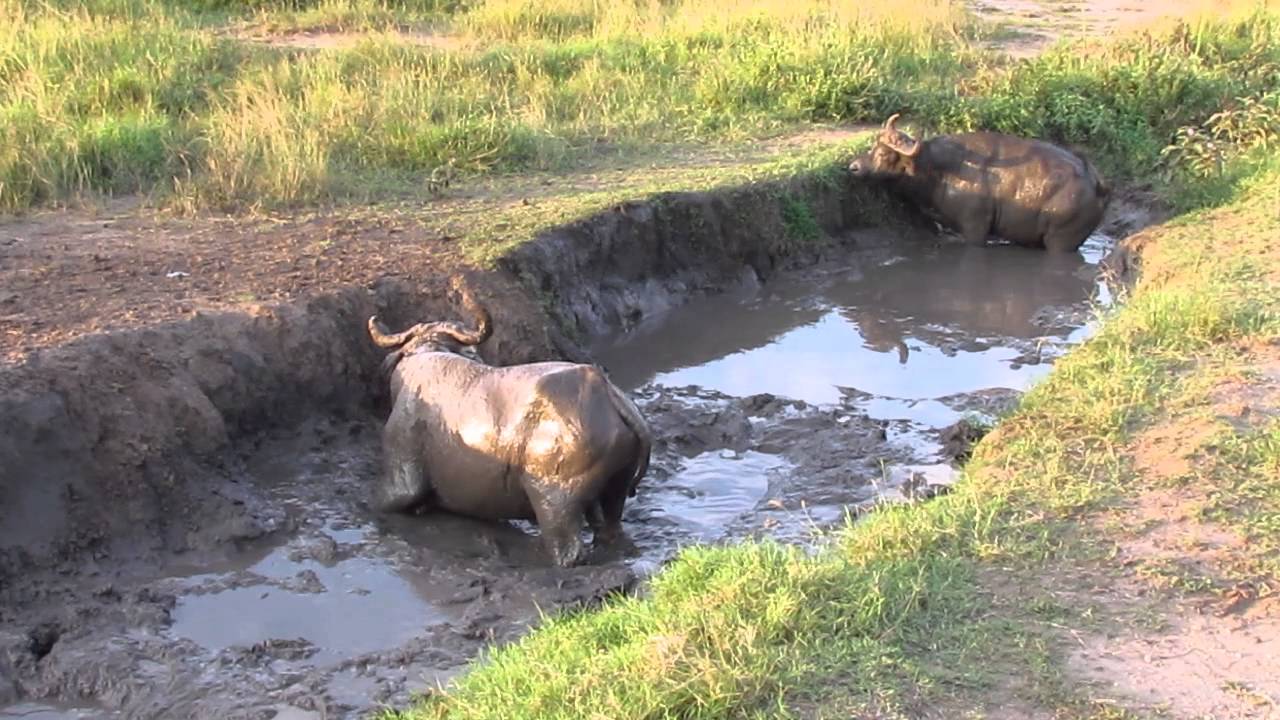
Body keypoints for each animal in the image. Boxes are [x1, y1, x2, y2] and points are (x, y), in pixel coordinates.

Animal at [367, 279, 653, 567]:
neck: (425, 359)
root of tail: (607, 394)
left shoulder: (402, 473)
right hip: (616, 487)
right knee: (609, 527)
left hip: (555, 504)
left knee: (567, 551)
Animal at [849, 114, 1110, 253]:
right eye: (873, 146)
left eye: (884, 154)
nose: (854, 167)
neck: (940, 169)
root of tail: (1096, 184)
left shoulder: (975, 228)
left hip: (1061, 242)